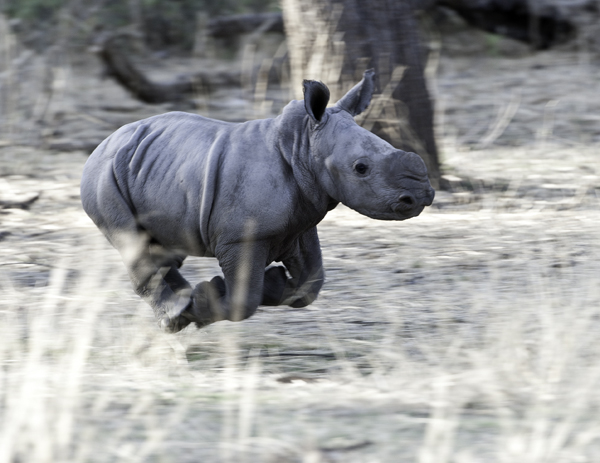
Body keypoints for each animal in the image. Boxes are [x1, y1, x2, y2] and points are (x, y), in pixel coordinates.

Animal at [81, 70, 436, 334]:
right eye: (361, 168)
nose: (421, 196)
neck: (302, 145)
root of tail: (102, 144)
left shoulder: (299, 223)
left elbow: (311, 282)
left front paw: (267, 284)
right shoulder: (242, 237)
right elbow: (244, 301)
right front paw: (208, 298)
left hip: (151, 169)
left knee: (164, 247)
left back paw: (181, 305)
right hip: (103, 178)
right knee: (134, 242)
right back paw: (175, 317)